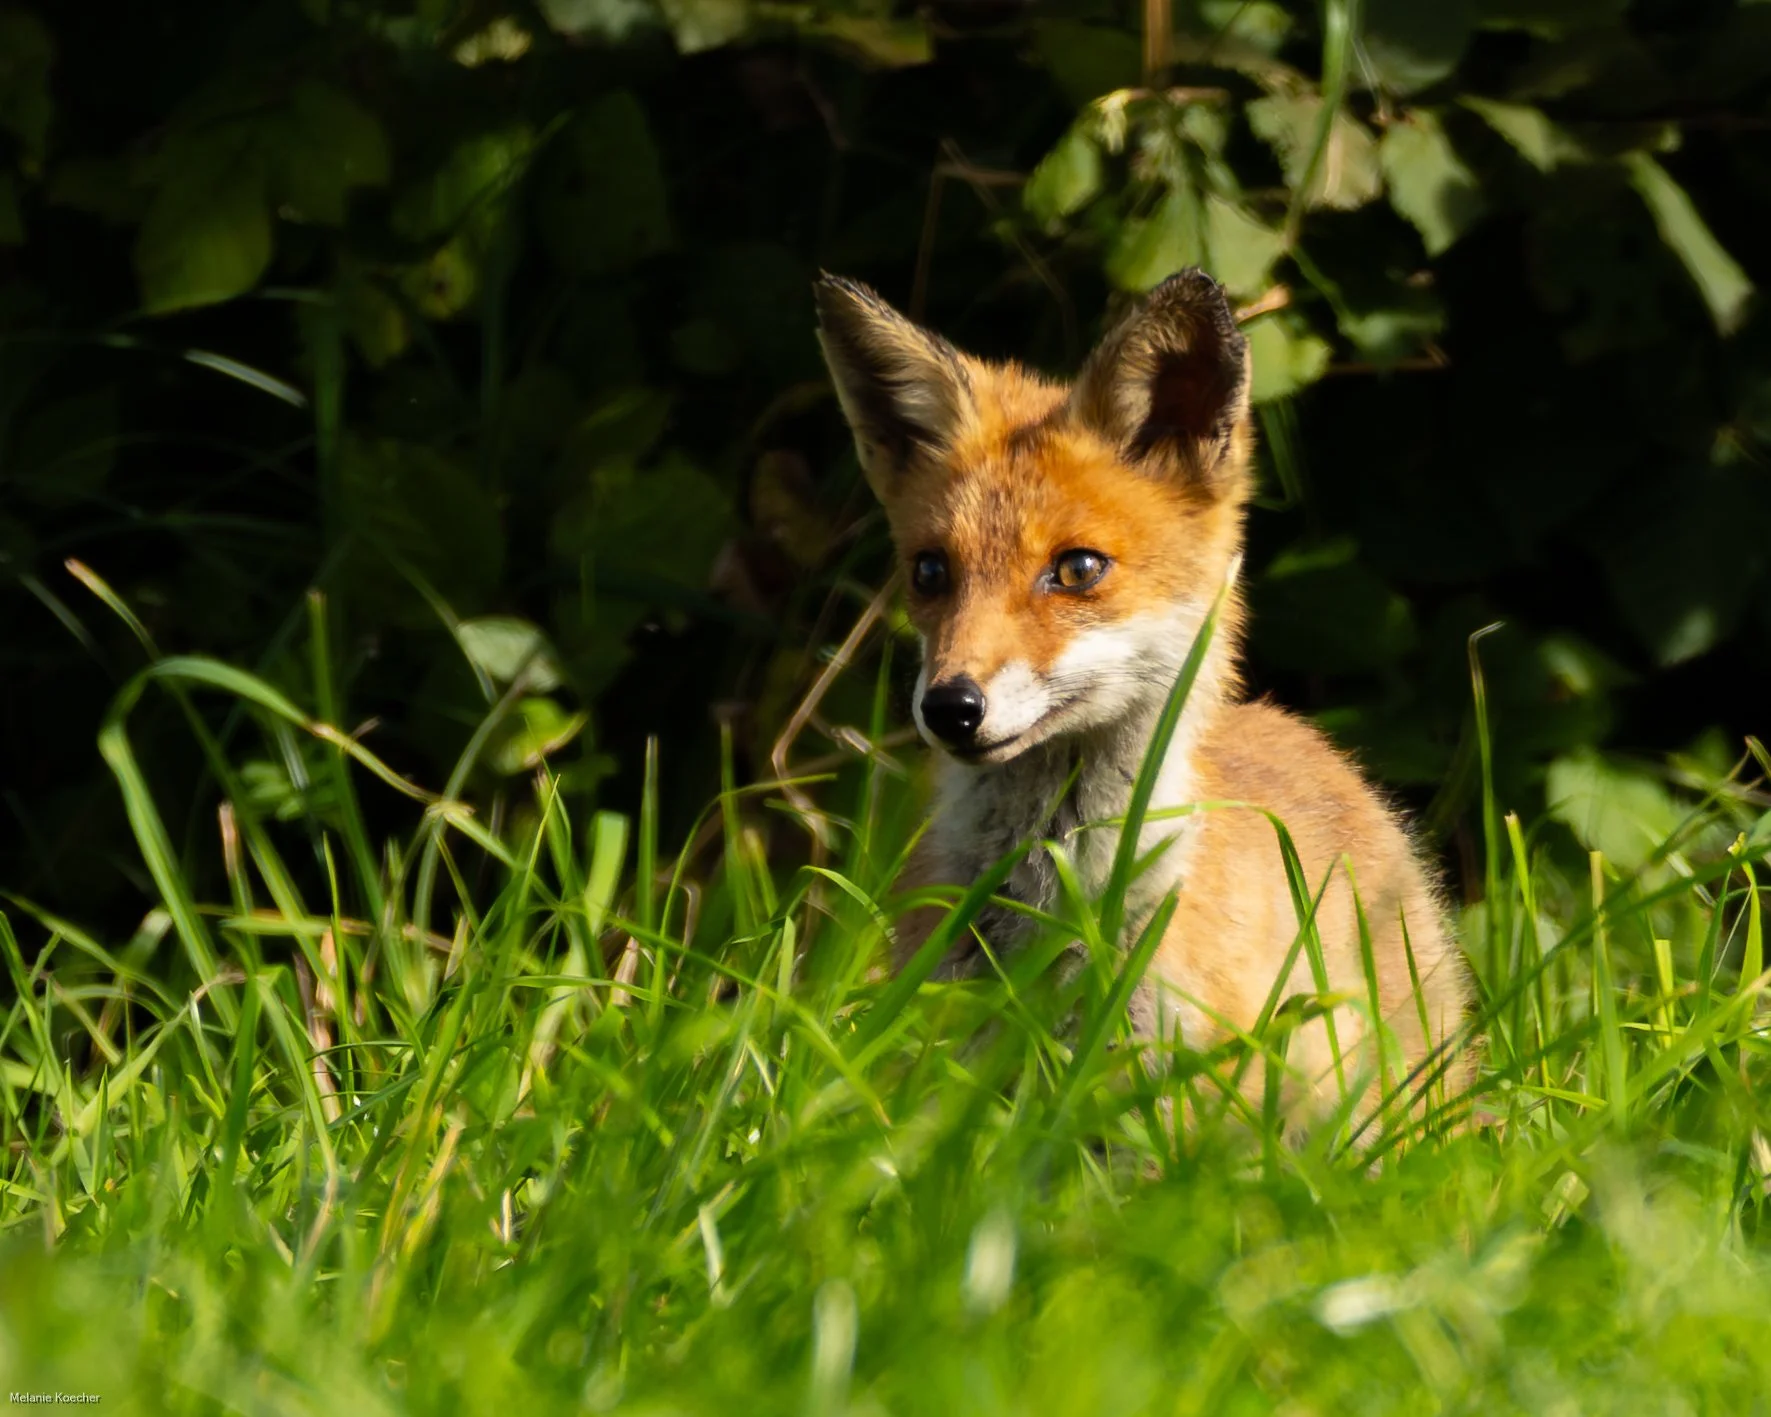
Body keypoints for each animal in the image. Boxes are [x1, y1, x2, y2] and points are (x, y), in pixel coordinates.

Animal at [812, 267, 1471, 1121]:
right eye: (930, 571)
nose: (949, 707)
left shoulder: (1168, 1075)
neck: (1052, 901)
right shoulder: (953, 1044)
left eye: (1076, 568)